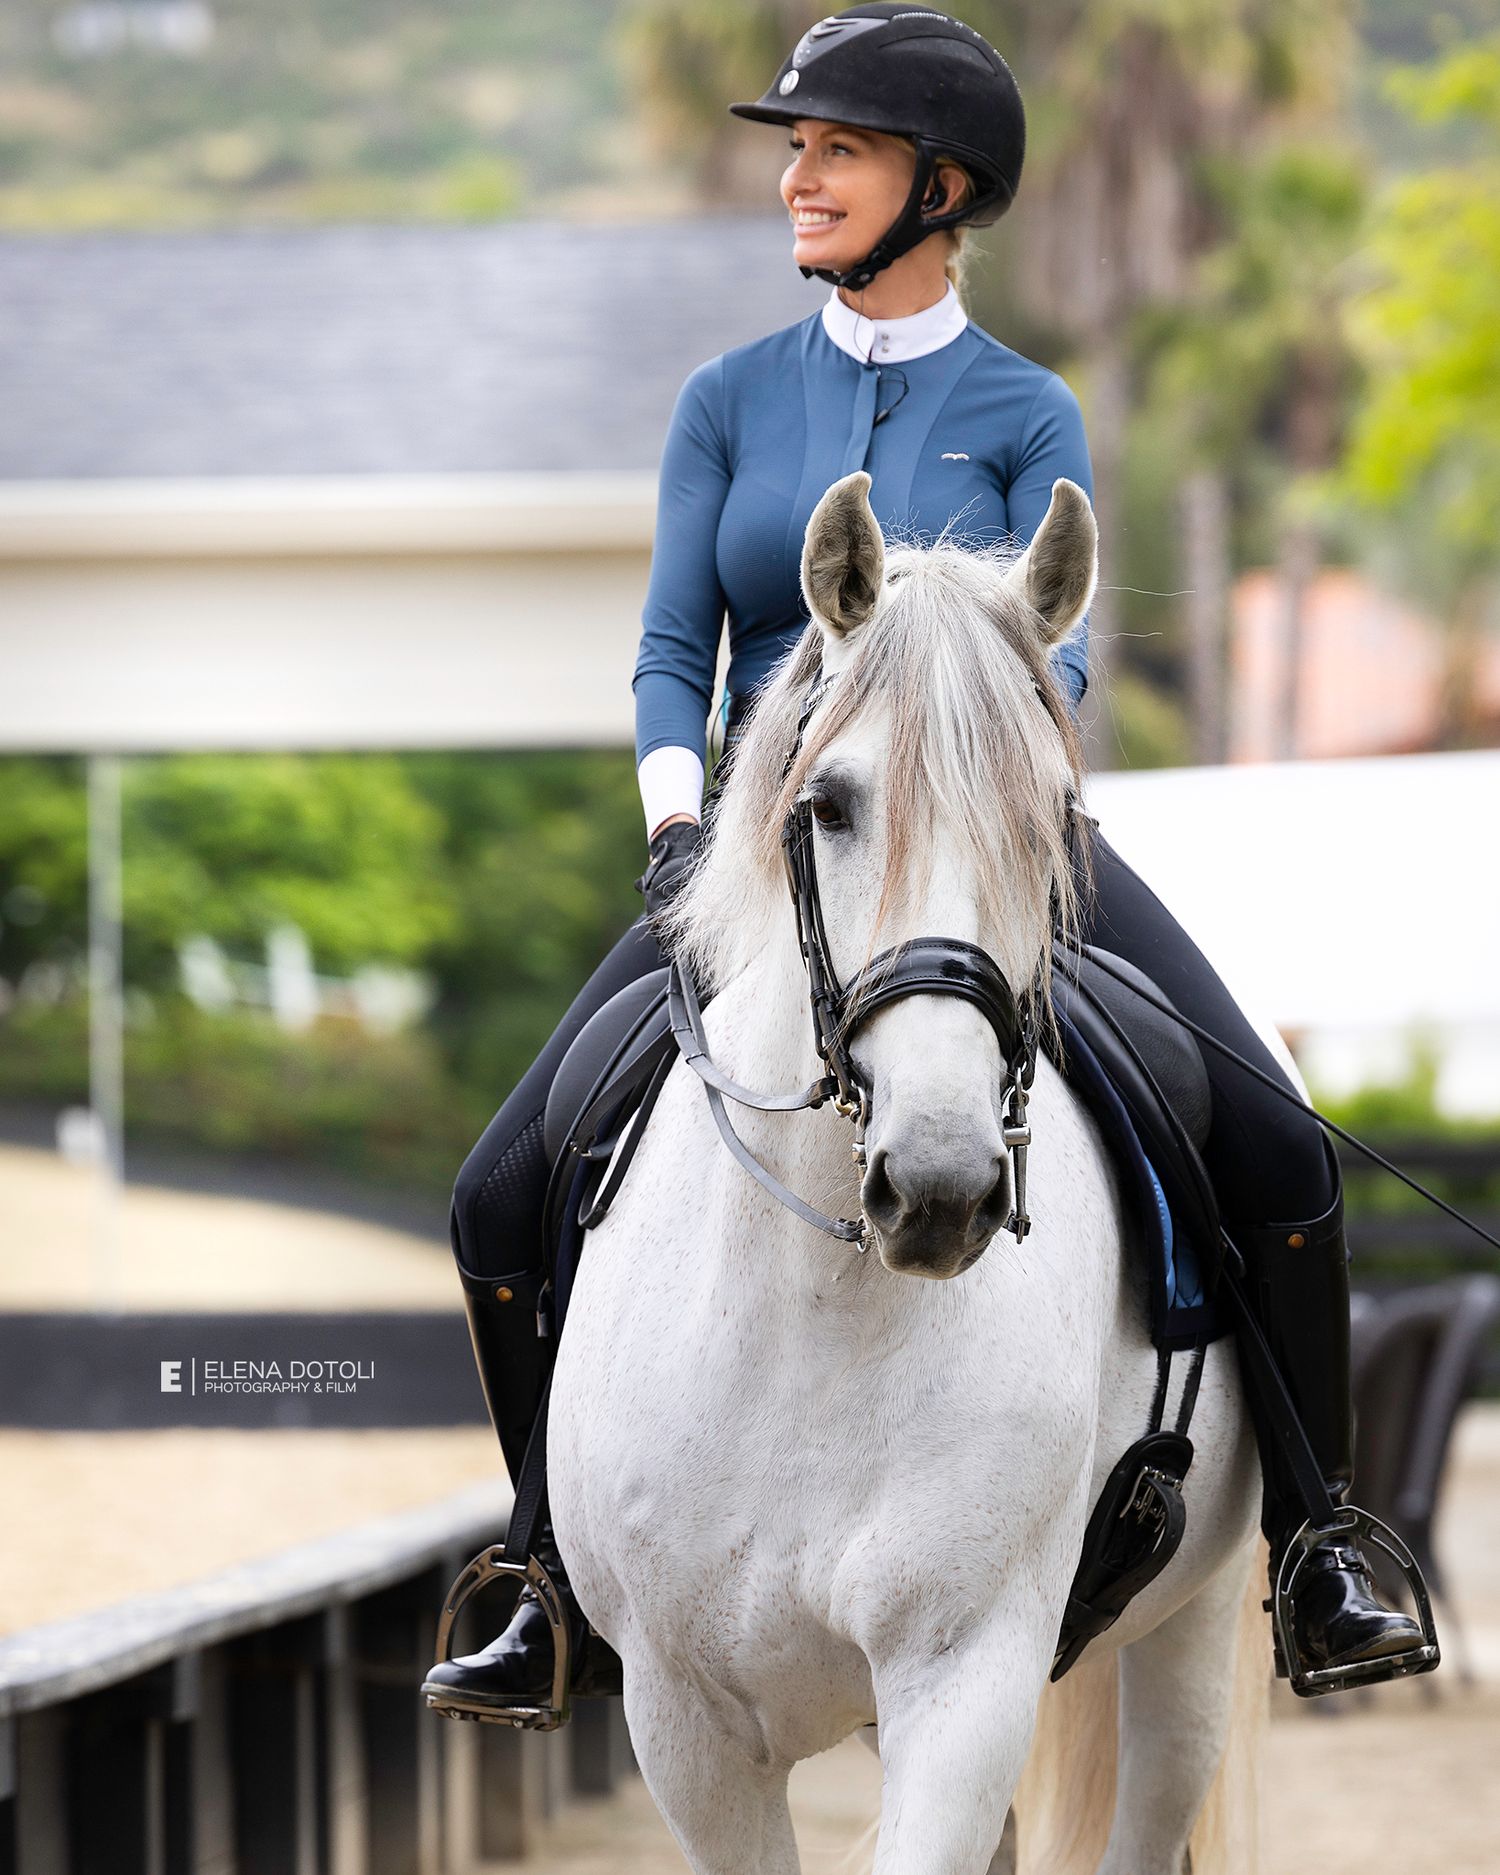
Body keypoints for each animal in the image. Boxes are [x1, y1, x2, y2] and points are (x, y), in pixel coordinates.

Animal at [547, 472, 1266, 1875]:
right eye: (828, 805)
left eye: (1054, 817)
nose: (940, 1186)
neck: (810, 1316)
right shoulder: (684, 1723)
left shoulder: (962, 1682)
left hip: (1192, 1632)